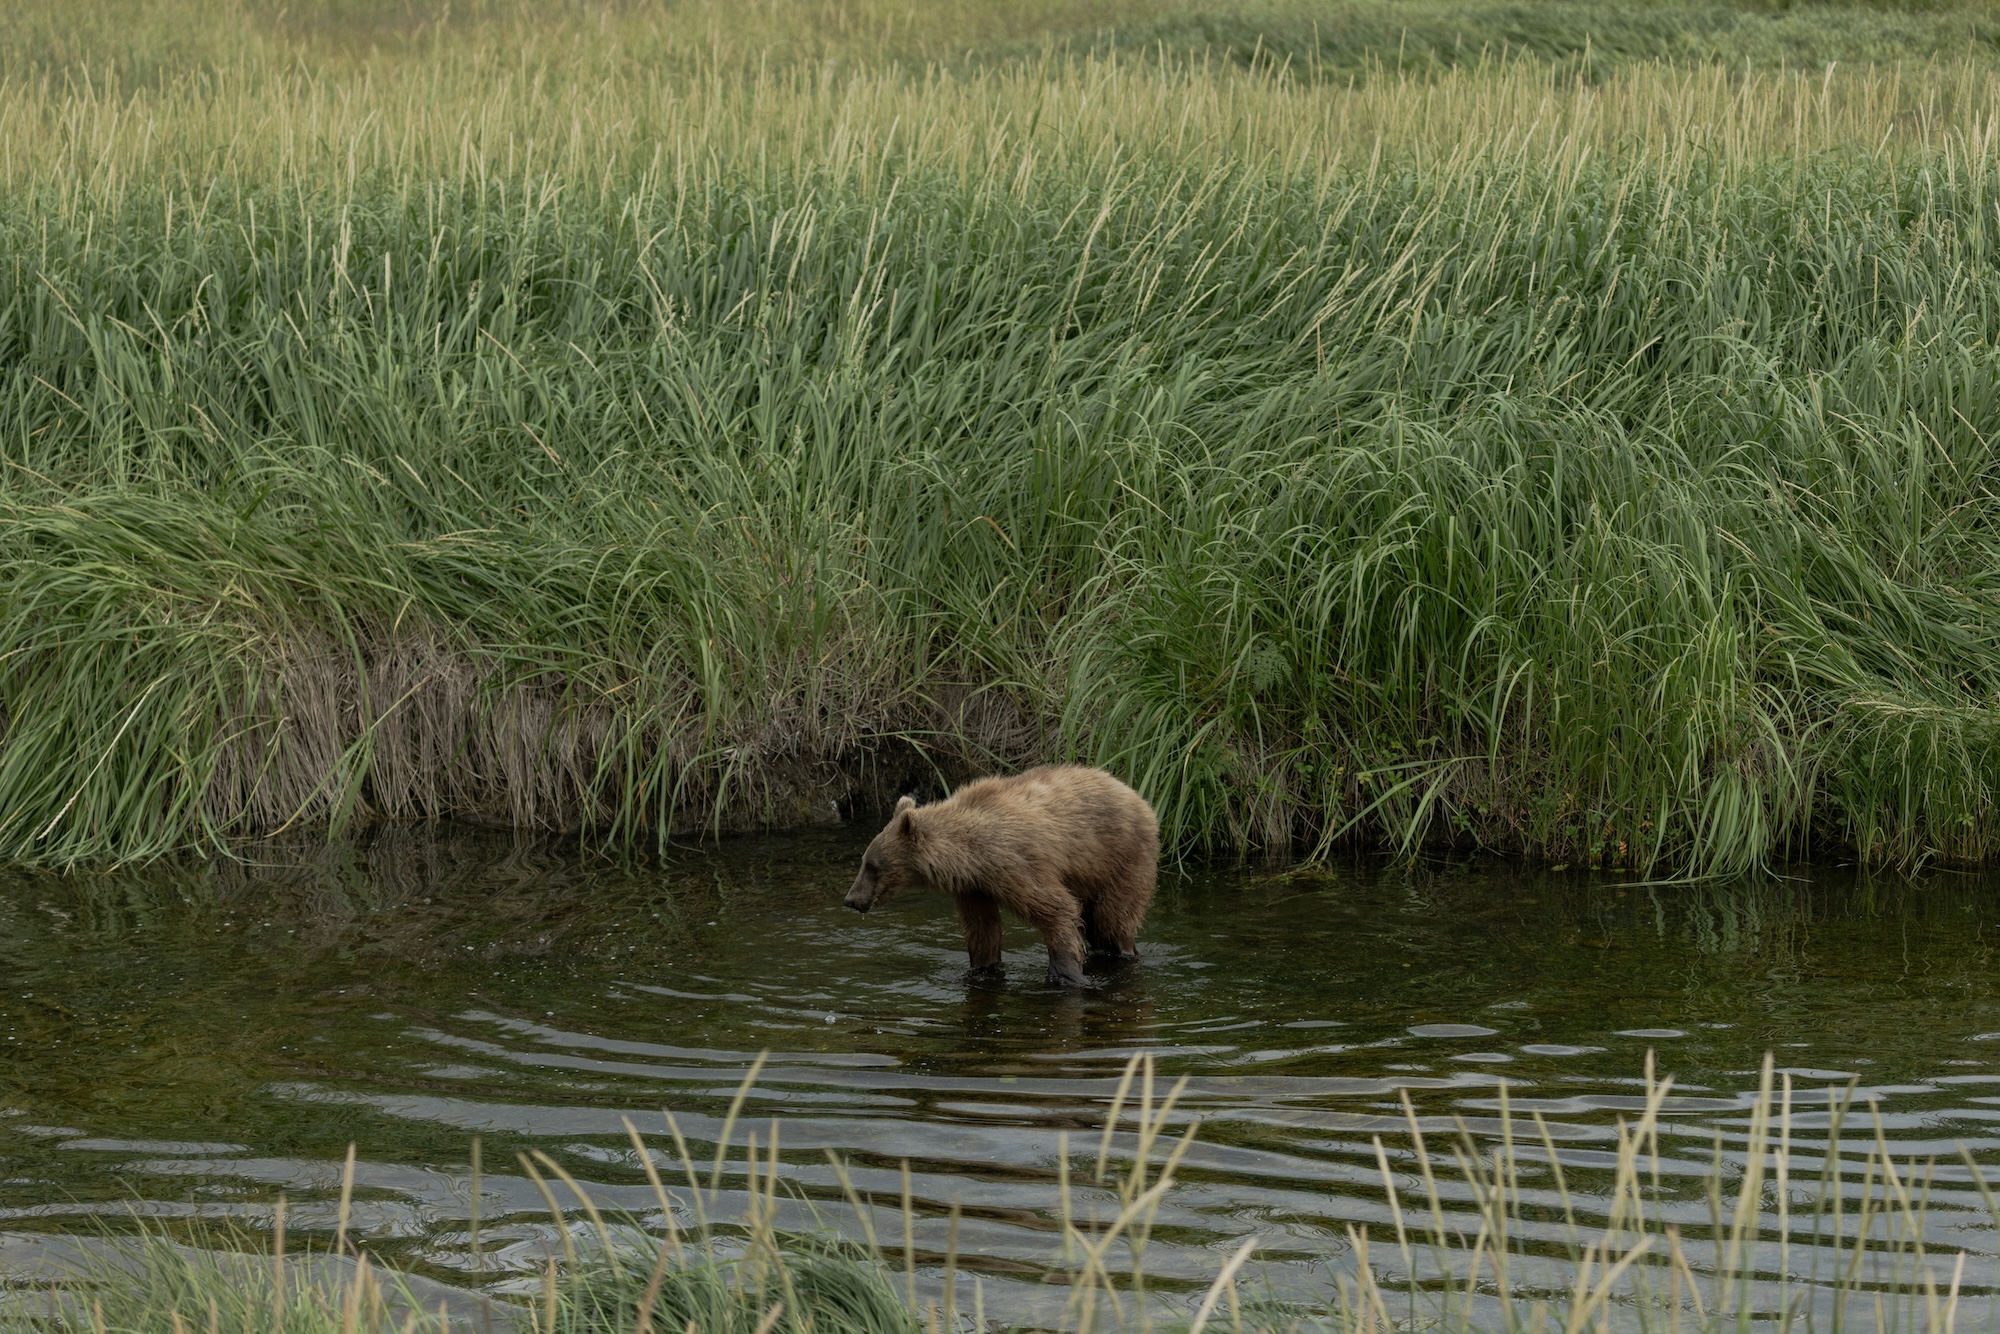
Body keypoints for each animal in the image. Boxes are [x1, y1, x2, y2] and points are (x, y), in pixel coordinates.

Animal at [842, 765, 1158, 987]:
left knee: (1112, 920)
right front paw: (982, 968)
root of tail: (1138, 797)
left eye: (872, 865)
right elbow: (983, 928)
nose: (850, 899)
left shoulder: (1014, 865)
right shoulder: (972, 887)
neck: (970, 856)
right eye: (864, 861)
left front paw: (1067, 973)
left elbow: (1055, 908)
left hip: (1121, 858)